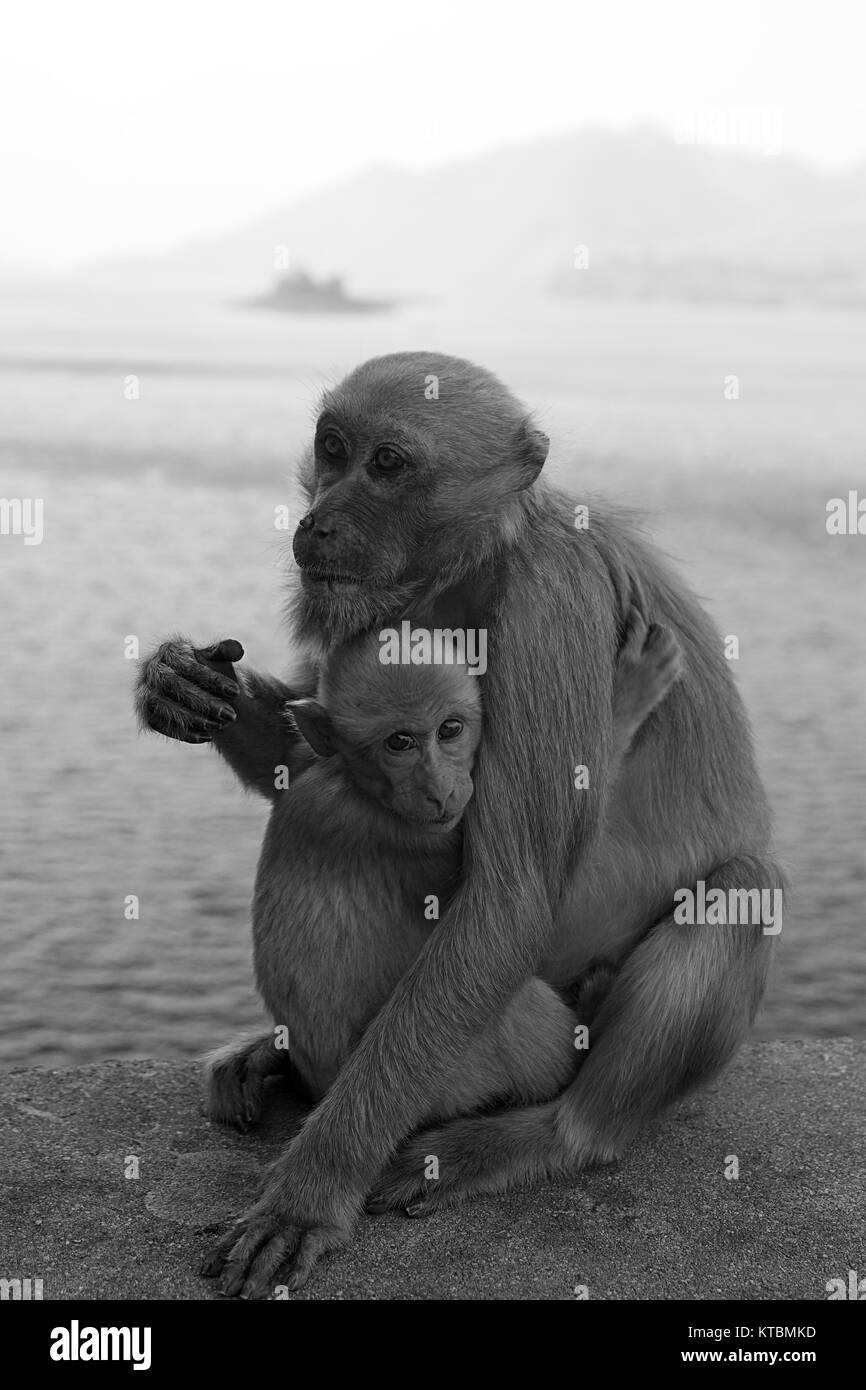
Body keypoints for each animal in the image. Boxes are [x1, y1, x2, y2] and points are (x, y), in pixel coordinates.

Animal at [207, 614, 681, 1134]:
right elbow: (529, 897)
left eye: (450, 729)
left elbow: (282, 759)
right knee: (510, 1001)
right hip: (455, 1082)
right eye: (399, 742)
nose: (438, 789)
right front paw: (634, 689)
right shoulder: (421, 834)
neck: (355, 784)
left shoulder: (318, 770)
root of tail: (320, 1089)